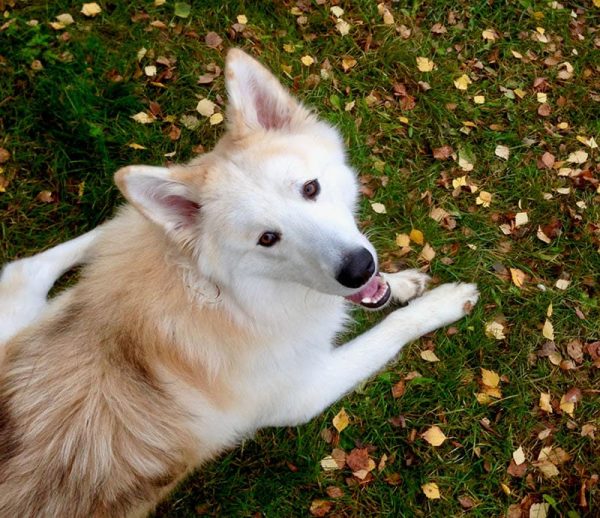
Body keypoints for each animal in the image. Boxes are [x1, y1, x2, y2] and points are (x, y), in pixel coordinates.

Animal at [0, 49, 478, 518]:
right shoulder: (305, 394)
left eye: (310, 188)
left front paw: (399, 283)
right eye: (267, 238)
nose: (359, 268)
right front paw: (440, 305)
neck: (228, 300)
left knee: (39, 261)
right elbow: (389, 331)